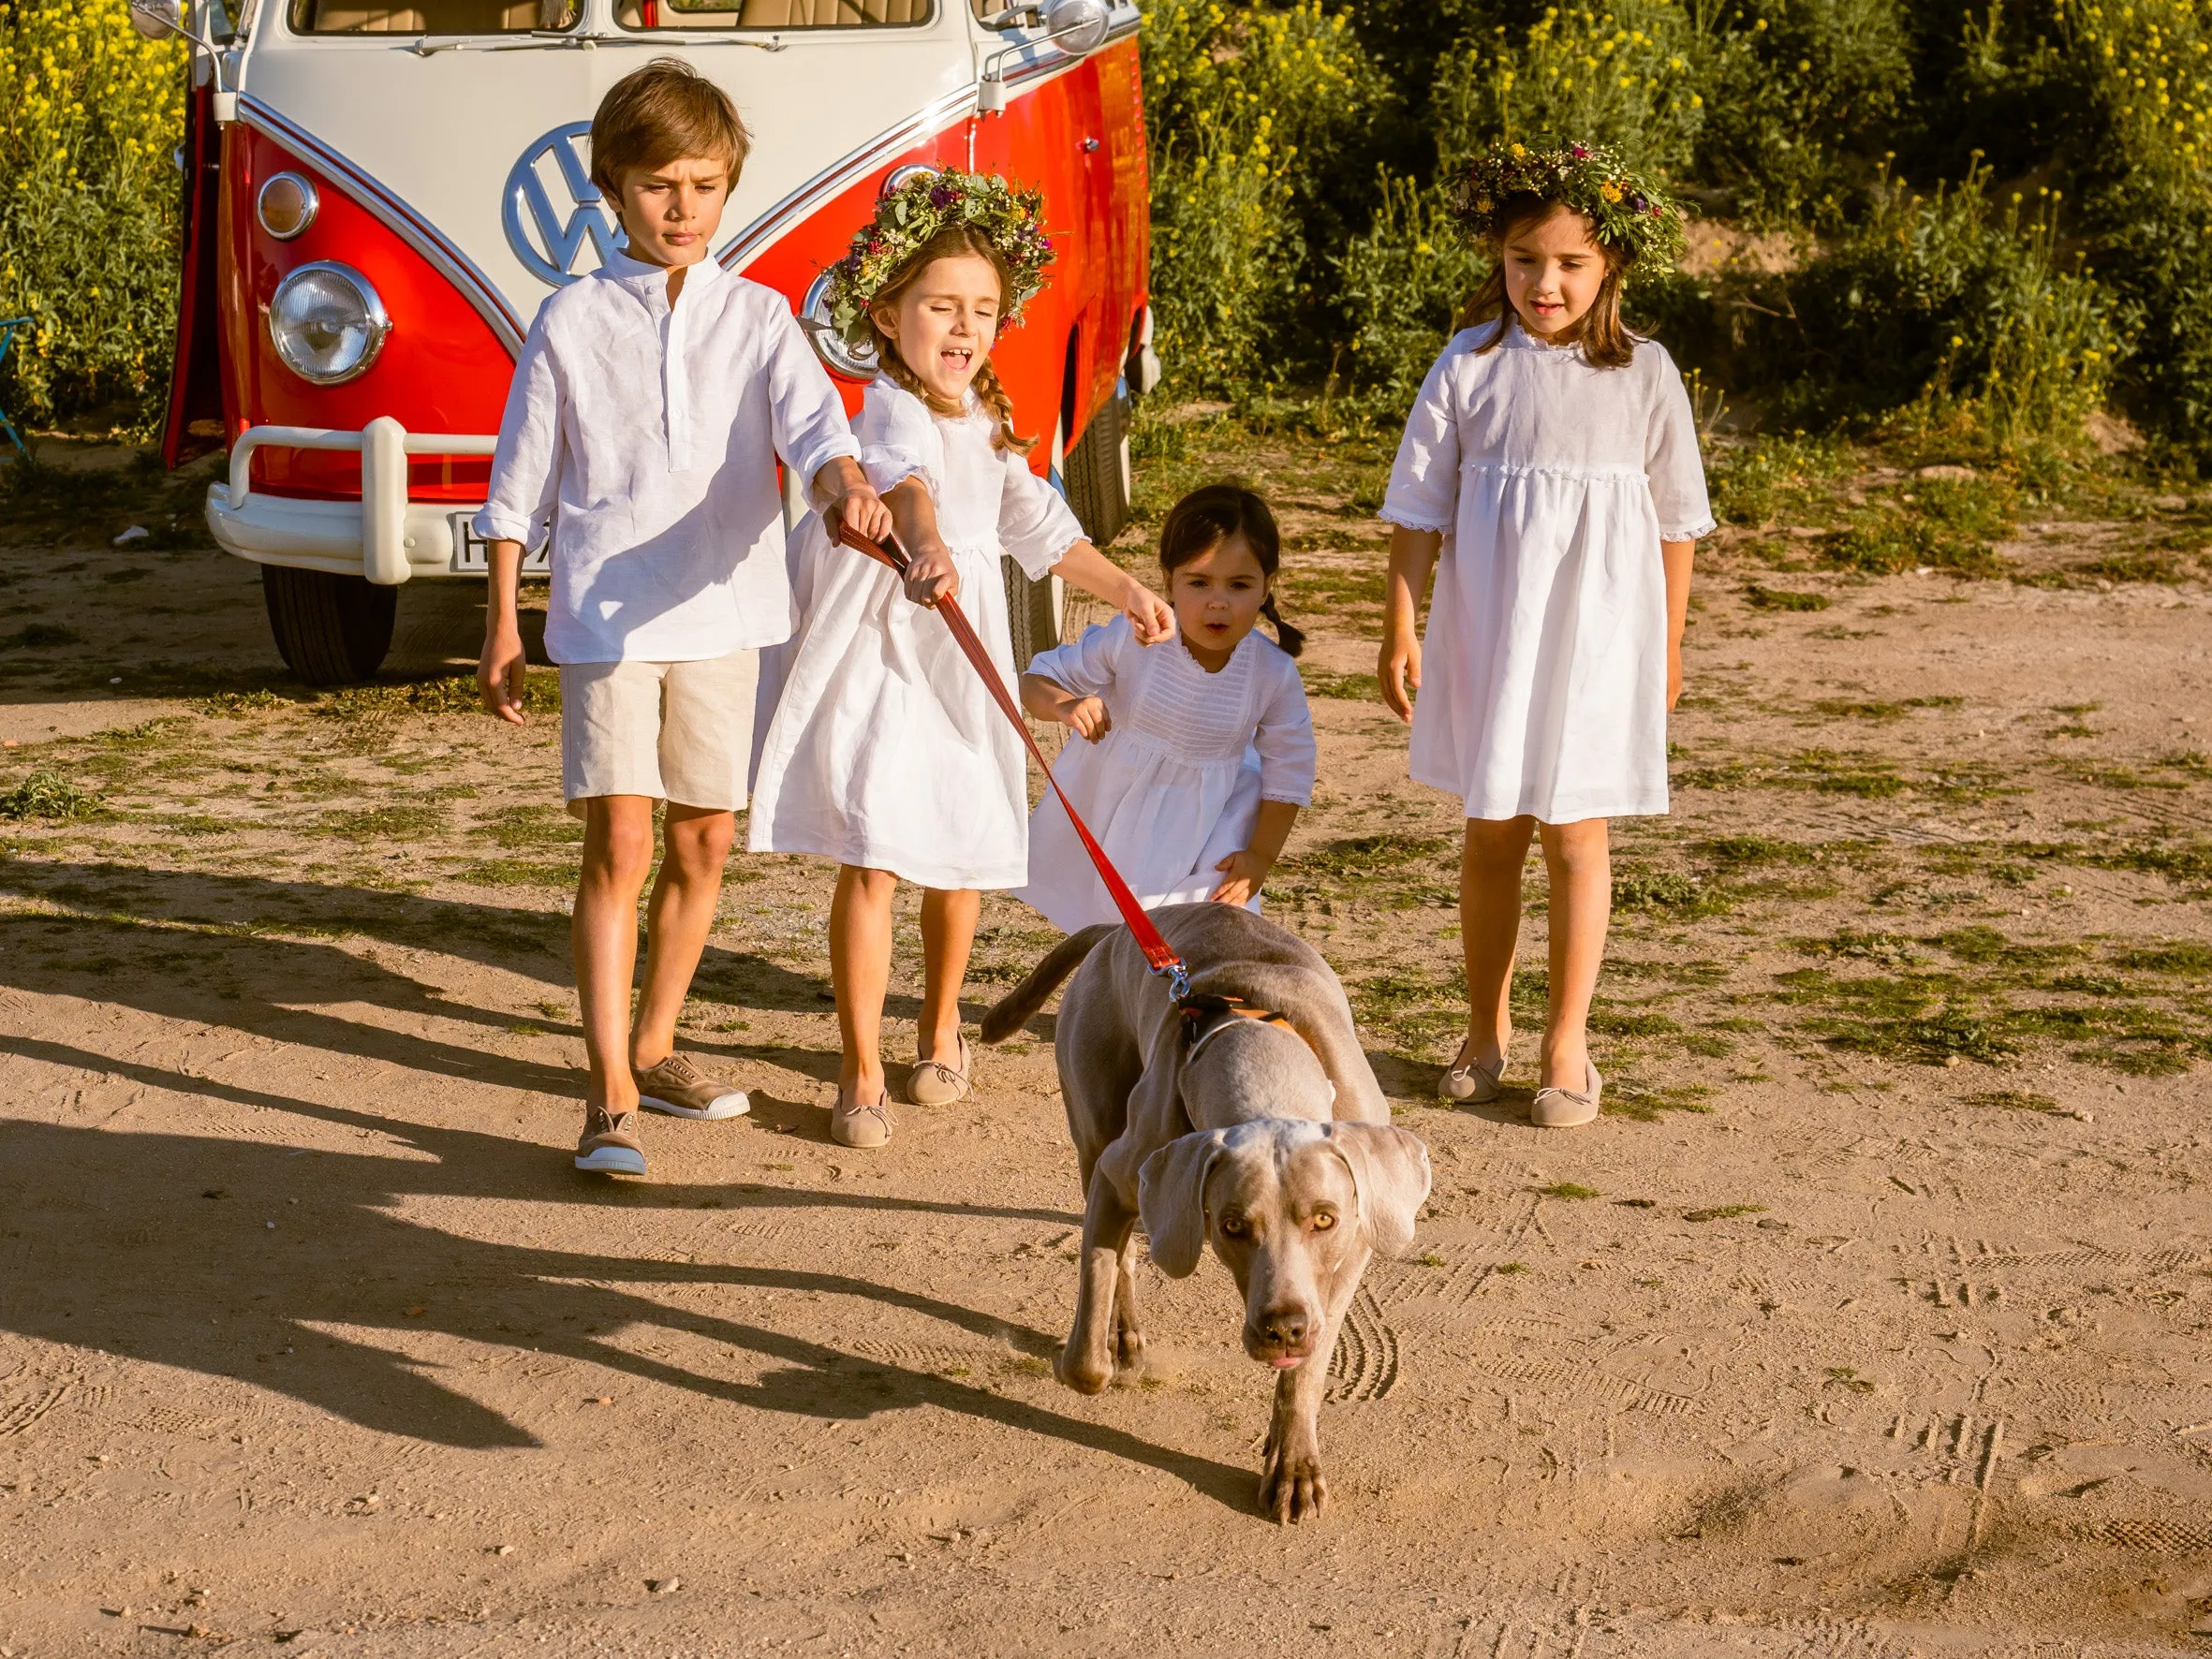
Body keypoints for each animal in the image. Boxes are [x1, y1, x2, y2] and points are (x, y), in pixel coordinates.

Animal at [978, 902, 1424, 1530]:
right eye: (1232, 1225)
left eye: (1325, 1220)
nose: (1282, 1328)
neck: (1257, 1042)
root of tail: (1114, 931)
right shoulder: (1119, 1178)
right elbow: (1089, 1338)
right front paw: (1083, 1361)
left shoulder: (1350, 1252)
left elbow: (1309, 1369)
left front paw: (1293, 1464)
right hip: (1096, 1130)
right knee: (1122, 1249)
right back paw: (1123, 1332)